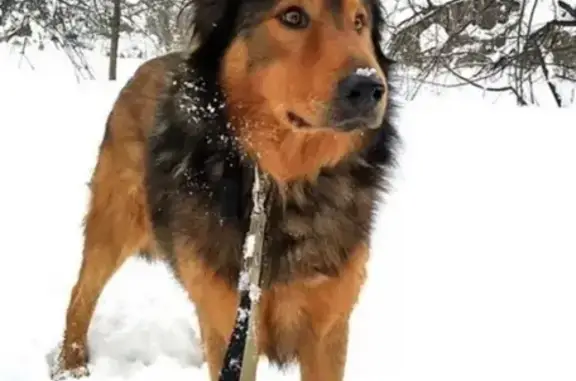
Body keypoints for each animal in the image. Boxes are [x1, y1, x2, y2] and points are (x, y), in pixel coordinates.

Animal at [51, 0, 398, 380]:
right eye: (293, 17)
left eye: (359, 22)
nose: (369, 88)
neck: (281, 186)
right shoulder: (232, 319)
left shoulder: (328, 330)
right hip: (114, 224)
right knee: (81, 293)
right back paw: (70, 362)